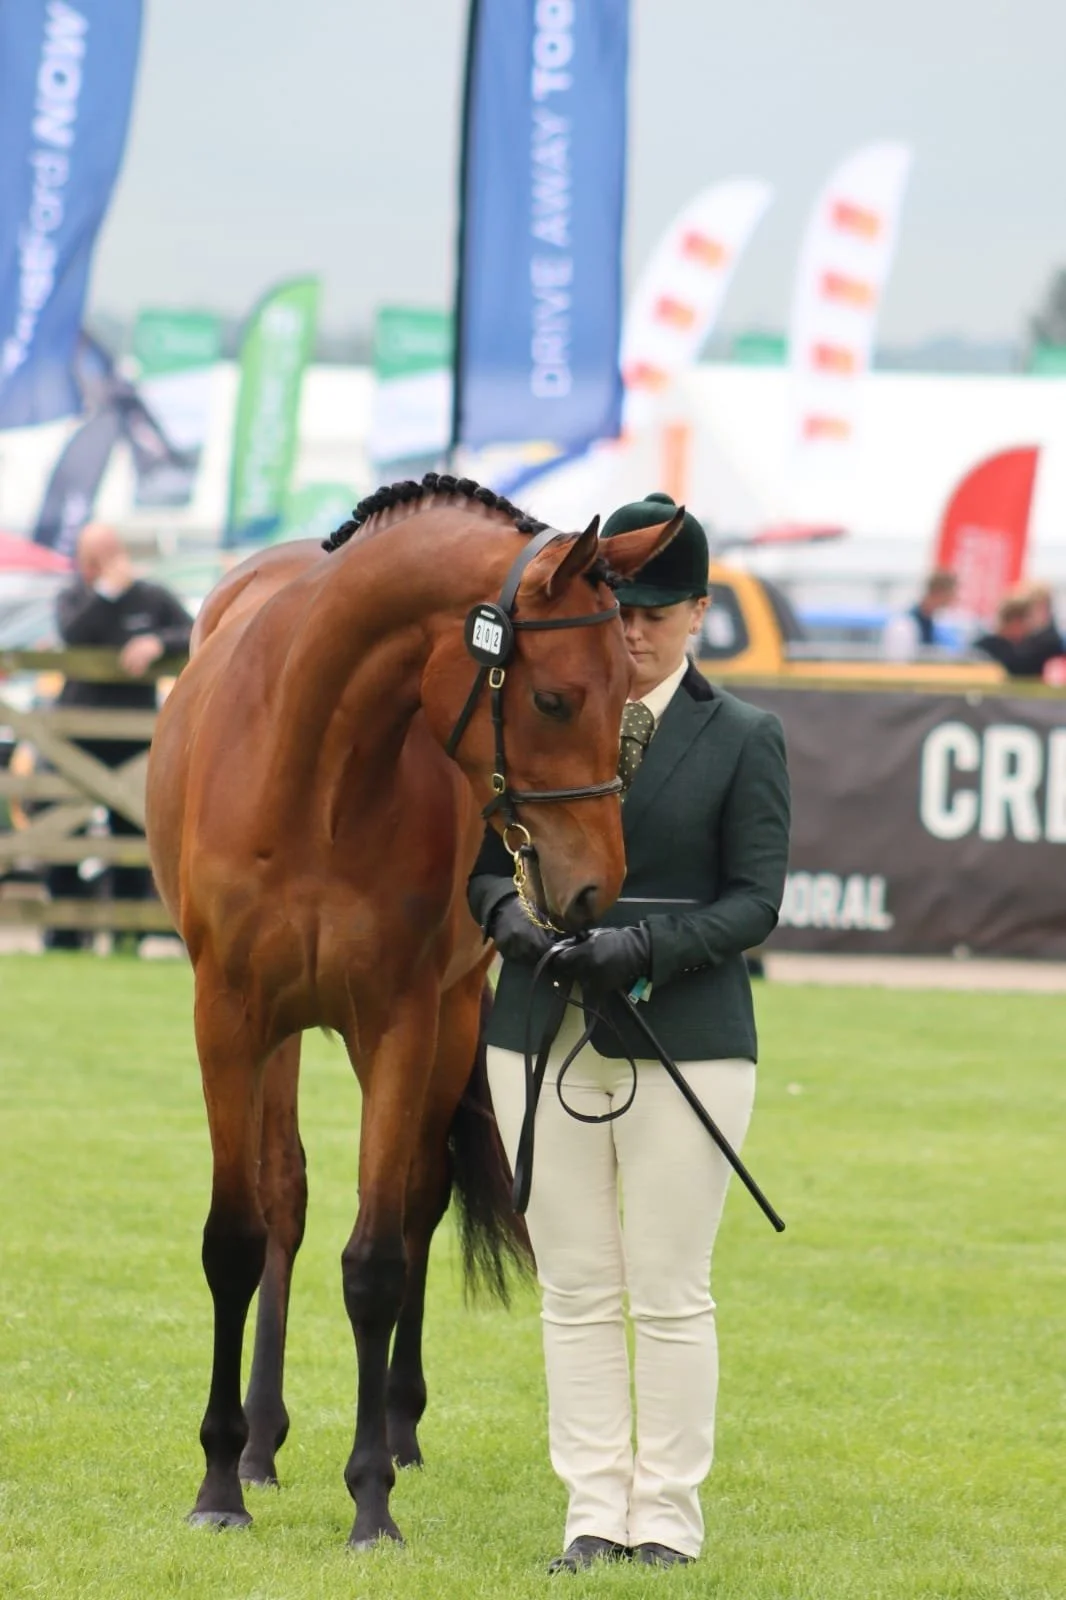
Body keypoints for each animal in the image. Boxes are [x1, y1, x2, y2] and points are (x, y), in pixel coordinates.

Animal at [144, 473, 680, 1549]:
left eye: (626, 692)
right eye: (554, 696)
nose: (594, 890)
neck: (314, 776)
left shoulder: (399, 1022)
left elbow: (378, 1260)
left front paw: (370, 1499)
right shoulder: (228, 1017)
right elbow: (236, 1238)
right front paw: (218, 1480)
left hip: (450, 1015)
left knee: (419, 1202)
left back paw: (394, 1430)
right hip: (281, 1036)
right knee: (285, 1198)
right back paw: (260, 1445)